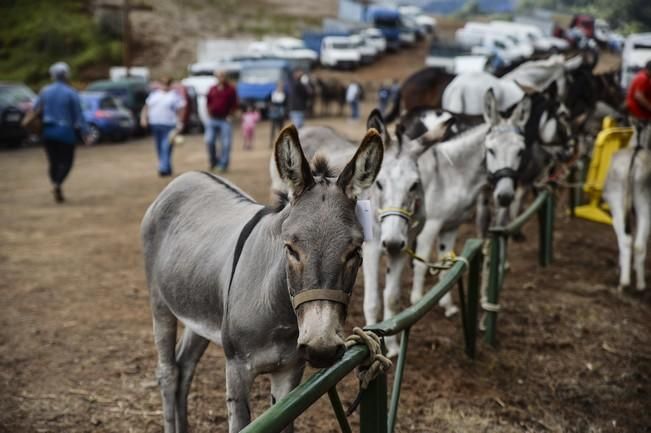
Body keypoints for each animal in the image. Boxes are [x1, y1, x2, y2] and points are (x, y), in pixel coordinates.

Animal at [141, 125, 382, 432]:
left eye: (355, 250)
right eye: (290, 248)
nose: (322, 348)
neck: (277, 309)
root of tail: (185, 177)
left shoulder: (290, 372)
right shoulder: (236, 368)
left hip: (200, 309)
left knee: (184, 368)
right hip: (160, 303)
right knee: (168, 372)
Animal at [604, 121, 648, 290]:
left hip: (617, 201)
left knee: (627, 240)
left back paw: (624, 281)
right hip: (644, 203)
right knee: (637, 243)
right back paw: (640, 284)